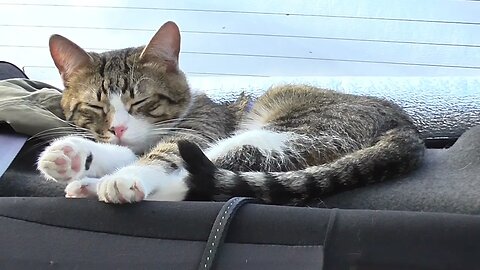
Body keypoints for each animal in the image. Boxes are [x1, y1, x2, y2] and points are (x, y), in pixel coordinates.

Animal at [38, 21, 428, 206]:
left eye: (141, 102)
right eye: (95, 106)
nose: (118, 128)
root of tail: (406, 127)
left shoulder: (198, 131)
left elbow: (160, 155)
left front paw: (124, 176)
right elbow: (127, 152)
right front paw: (72, 155)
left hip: (289, 131)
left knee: (200, 178)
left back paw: (101, 187)